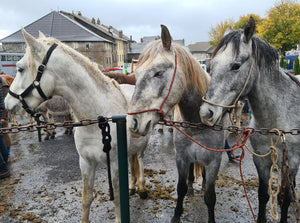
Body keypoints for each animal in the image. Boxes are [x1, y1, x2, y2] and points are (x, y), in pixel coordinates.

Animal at [4, 29, 149, 223]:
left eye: (20, 68)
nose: (7, 103)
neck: (99, 121)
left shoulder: (115, 164)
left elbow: (118, 198)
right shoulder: (86, 162)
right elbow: (86, 197)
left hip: (141, 147)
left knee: (139, 160)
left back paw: (141, 187)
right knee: (133, 163)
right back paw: (133, 186)